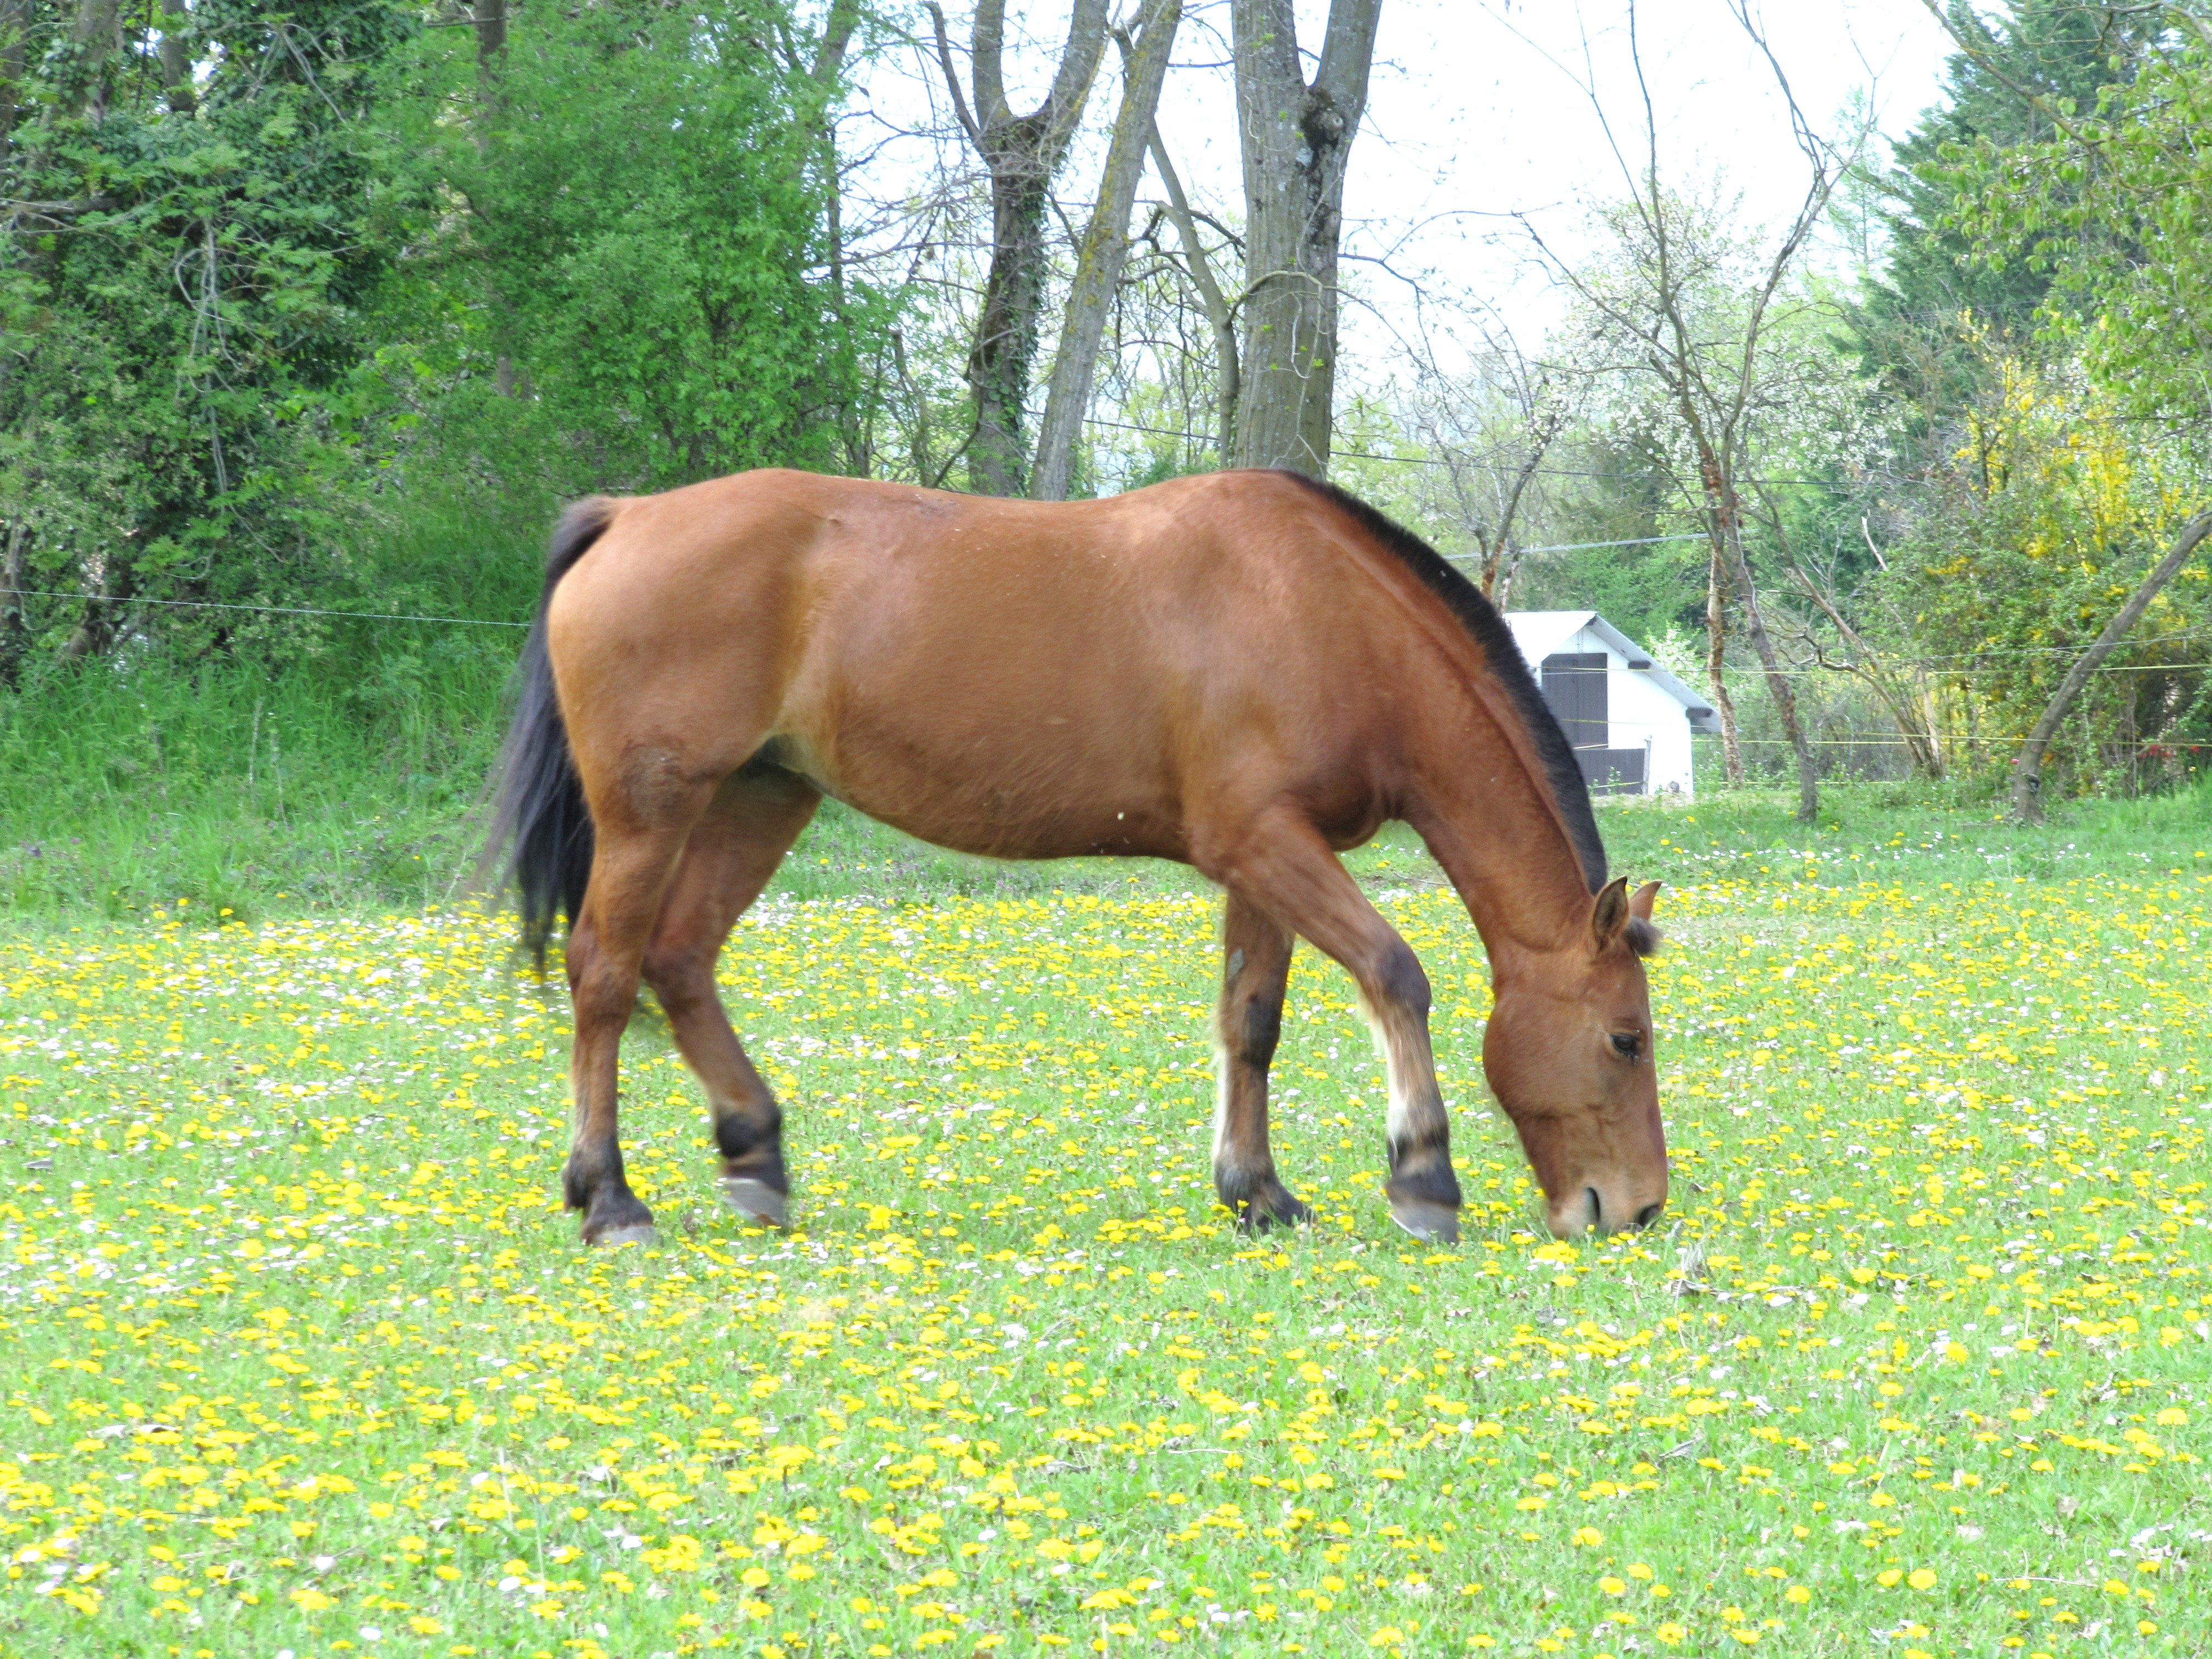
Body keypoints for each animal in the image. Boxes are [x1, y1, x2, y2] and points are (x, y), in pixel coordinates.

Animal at [487, 467, 1668, 1248]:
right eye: (1626, 1040)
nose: (1638, 1209)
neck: (1321, 614)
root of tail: (629, 516)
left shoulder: (1263, 859)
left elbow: (1252, 1022)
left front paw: (1257, 1192)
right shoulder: (1266, 844)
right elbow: (1395, 974)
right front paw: (1423, 1175)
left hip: (761, 796)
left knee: (681, 960)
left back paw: (755, 1153)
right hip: (655, 812)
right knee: (605, 973)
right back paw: (610, 1199)